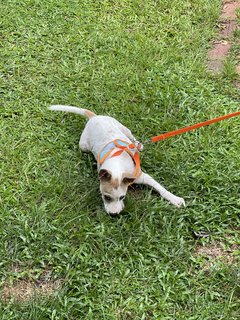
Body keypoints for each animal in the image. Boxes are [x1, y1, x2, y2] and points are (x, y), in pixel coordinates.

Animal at [47, 106, 185, 216]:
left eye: (122, 197)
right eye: (106, 197)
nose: (114, 215)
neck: (117, 165)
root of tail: (94, 117)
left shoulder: (142, 176)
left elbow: (160, 188)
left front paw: (175, 199)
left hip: (122, 127)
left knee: (131, 136)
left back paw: (138, 145)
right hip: (83, 146)